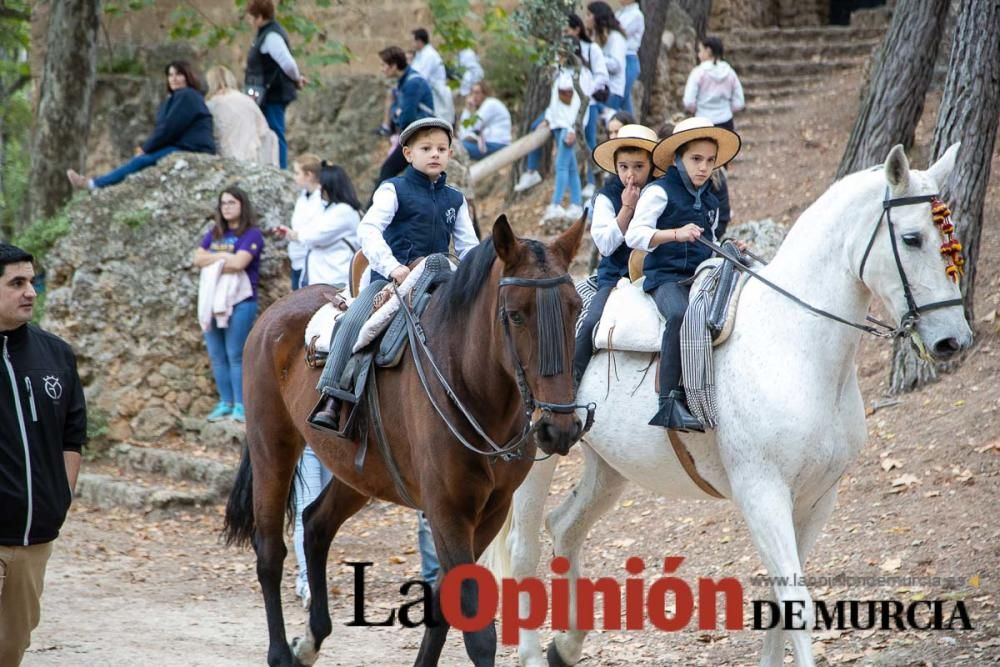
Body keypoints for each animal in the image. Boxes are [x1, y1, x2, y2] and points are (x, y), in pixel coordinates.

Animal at [223, 217, 588, 664]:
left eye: (575, 309)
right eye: (515, 315)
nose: (561, 427)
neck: (468, 384)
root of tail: (274, 312)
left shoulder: (491, 510)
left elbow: (446, 605)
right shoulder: (447, 510)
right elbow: (478, 632)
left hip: (358, 473)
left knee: (316, 525)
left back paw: (310, 640)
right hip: (272, 447)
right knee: (270, 552)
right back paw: (279, 651)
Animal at [488, 144, 972, 664]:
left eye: (950, 238)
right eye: (911, 238)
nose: (953, 340)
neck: (792, 343)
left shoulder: (818, 498)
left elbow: (782, 601)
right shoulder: (763, 494)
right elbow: (796, 602)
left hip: (610, 467)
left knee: (566, 527)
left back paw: (566, 643)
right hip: (539, 459)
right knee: (523, 548)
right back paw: (534, 651)